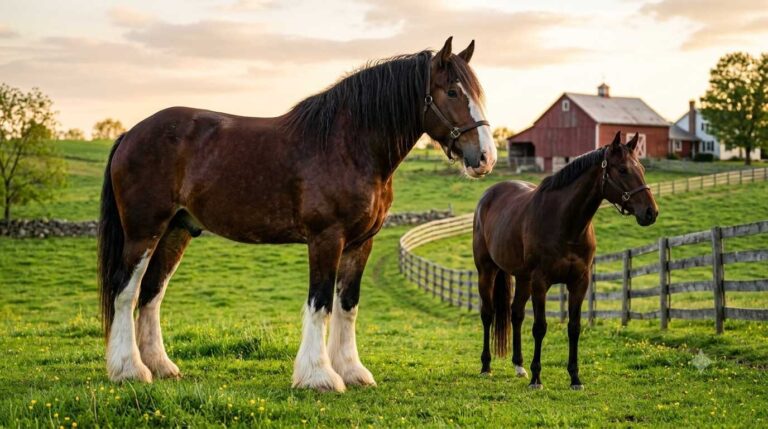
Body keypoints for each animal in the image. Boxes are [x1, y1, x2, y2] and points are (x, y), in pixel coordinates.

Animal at [97, 37, 496, 392]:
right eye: (453, 92)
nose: (485, 158)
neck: (348, 144)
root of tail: (130, 133)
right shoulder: (326, 238)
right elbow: (320, 304)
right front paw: (319, 376)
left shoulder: (360, 243)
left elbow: (347, 306)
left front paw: (352, 371)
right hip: (143, 230)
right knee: (125, 291)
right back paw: (129, 370)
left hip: (176, 230)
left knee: (151, 293)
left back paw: (160, 366)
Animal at [472, 132, 658, 390]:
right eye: (622, 170)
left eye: (641, 168)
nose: (651, 212)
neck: (565, 222)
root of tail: (488, 196)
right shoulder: (540, 282)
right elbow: (540, 327)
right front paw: (537, 379)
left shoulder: (579, 282)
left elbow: (574, 327)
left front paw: (575, 378)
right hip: (487, 271)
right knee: (488, 314)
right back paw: (486, 366)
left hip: (522, 278)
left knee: (516, 314)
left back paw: (519, 366)